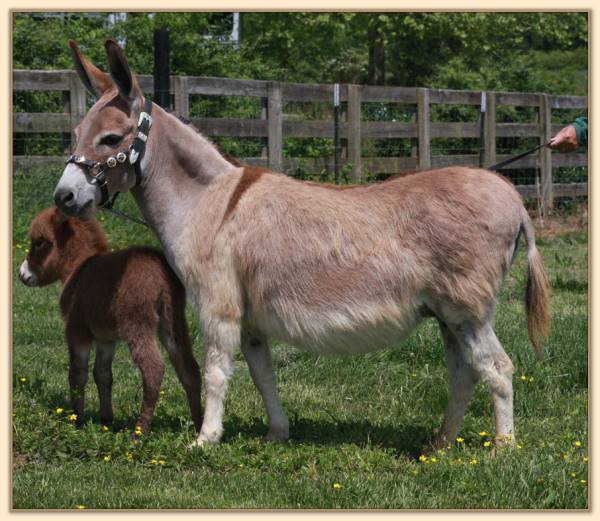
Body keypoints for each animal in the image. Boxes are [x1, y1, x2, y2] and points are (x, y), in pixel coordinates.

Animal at [18, 205, 203, 432]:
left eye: (39, 242)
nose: (21, 275)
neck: (78, 267)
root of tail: (161, 272)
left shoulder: (77, 332)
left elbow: (77, 374)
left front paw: (77, 420)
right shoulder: (106, 339)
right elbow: (103, 374)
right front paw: (106, 419)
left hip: (137, 325)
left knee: (154, 370)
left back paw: (140, 431)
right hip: (173, 321)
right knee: (189, 368)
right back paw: (200, 426)